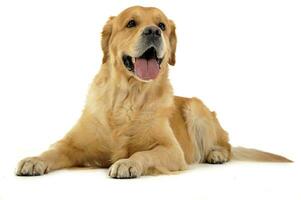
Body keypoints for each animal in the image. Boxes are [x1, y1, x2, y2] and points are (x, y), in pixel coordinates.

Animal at [16, 5, 290, 178]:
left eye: (161, 25)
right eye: (131, 23)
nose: (153, 31)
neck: (128, 96)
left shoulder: (171, 150)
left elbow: (143, 154)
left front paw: (127, 163)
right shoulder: (72, 144)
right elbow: (53, 150)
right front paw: (34, 160)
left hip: (196, 108)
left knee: (227, 145)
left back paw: (216, 153)